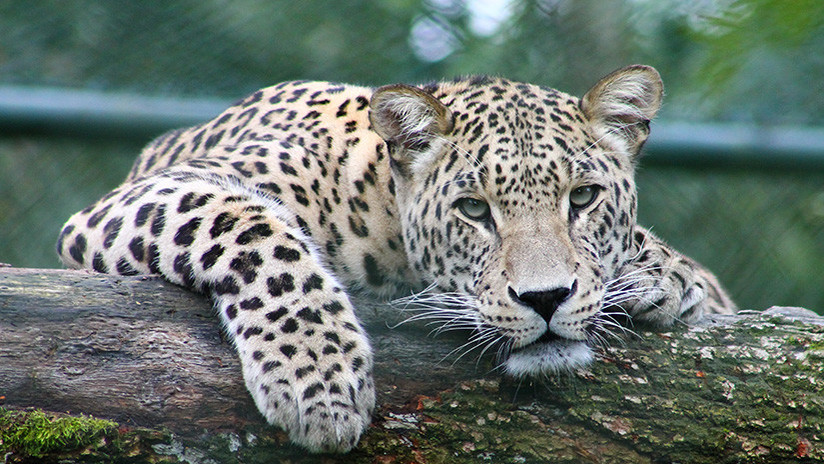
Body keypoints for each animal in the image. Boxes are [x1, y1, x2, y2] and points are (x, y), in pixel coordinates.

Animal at [58, 65, 736, 454]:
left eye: (584, 198)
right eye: (473, 209)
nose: (545, 300)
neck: (380, 207)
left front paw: (665, 275)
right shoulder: (142, 198)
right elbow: (254, 229)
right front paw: (319, 381)